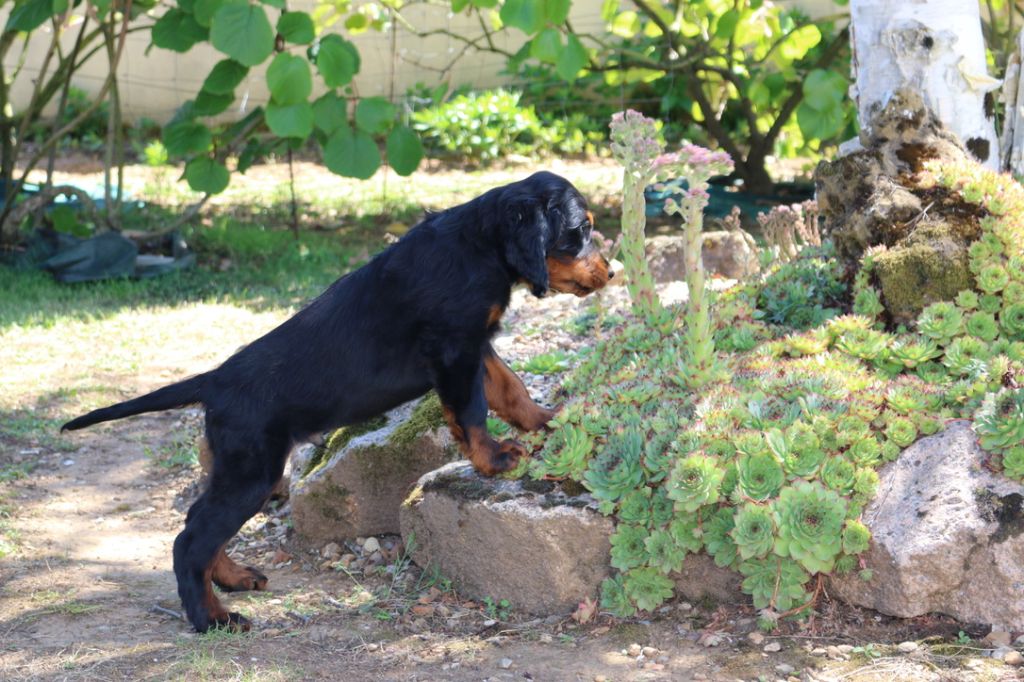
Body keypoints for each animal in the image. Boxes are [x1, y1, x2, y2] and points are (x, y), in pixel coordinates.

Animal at [61, 171, 614, 630]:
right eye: (580, 231)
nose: (610, 272)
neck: (479, 244)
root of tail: (213, 381)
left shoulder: (475, 343)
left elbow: (508, 385)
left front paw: (544, 420)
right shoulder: (455, 347)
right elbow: (472, 410)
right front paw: (493, 458)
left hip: (242, 470)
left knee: (200, 522)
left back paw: (233, 578)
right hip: (253, 469)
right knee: (190, 540)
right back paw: (212, 618)